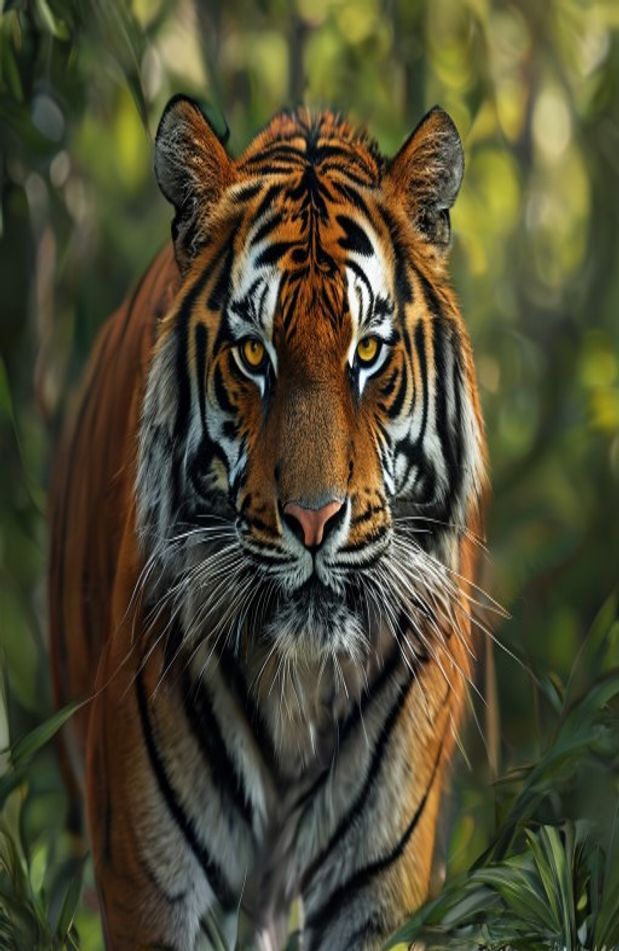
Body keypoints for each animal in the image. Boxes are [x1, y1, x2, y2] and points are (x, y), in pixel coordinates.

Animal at [48, 95, 487, 951]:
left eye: (368, 351)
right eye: (253, 354)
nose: (313, 520)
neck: (298, 686)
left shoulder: (377, 889)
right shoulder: (151, 884)